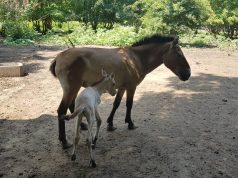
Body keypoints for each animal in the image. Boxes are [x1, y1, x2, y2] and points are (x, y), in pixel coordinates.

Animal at [50, 34, 192, 148]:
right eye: (179, 55)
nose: (188, 74)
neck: (136, 59)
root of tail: (58, 57)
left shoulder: (122, 87)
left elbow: (116, 104)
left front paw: (110, 124)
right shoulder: (131, 87)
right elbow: (129, 104)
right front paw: (130, 123)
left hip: (74, 89)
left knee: (72, 106)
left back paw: (83, 125)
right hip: (71, 89)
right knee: (61, 110)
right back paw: (64, 141)